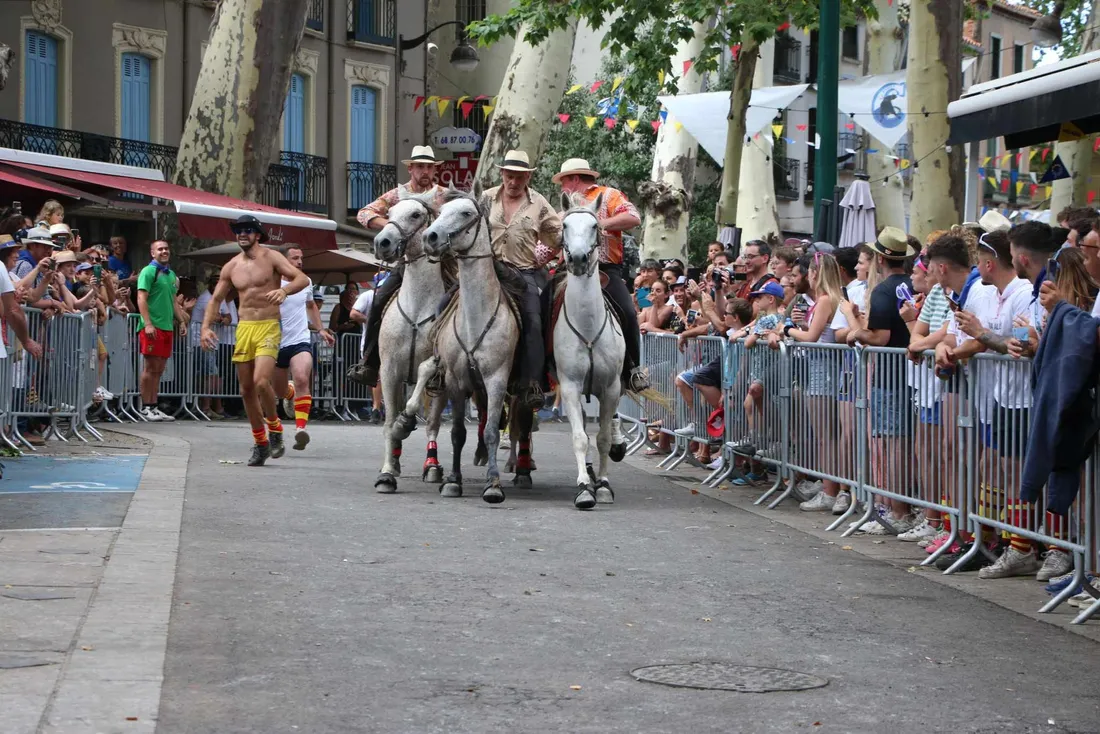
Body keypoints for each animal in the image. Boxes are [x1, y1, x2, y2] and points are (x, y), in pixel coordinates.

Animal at [369, 192, 446, 497]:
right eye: (389, 213)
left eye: (415, 215)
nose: (383, 242)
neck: (417, 307)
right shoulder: (389, 370)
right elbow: (390, 420)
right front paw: (387, 472)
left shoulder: (438, 369)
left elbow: (424, 415)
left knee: (432, 422)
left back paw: (431, 465)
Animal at [389, 183, 525, 506]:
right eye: (439, 212)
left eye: (465, 213)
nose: (431, 237)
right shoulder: (454, 379)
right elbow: (458, 433)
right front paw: (452, 480)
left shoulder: (497, 379)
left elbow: (491, 431)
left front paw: (493, 484)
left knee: (517, 425)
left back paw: (520, 468)